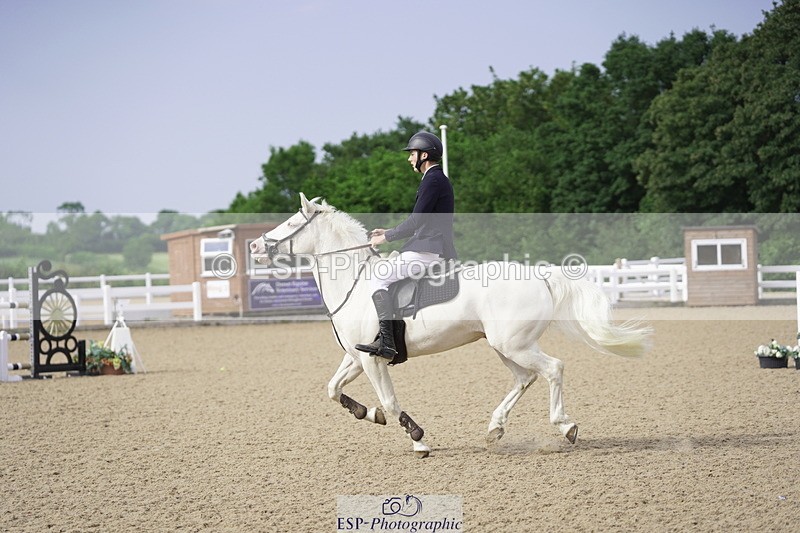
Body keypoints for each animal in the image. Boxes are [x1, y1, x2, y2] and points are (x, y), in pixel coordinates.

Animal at [250, 193, 652, 458]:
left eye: (291, 223)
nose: (254, 245)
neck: (356, 281)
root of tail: (539, 275)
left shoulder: (373, 359)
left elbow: (391, 401)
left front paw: (417, 439)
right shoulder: (357, 357)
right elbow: (333, 389)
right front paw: (367, 413)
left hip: (515, 345)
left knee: (553, 369)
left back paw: (565, 426)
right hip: (505, 345)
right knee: (525, 378)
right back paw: (495, 429)